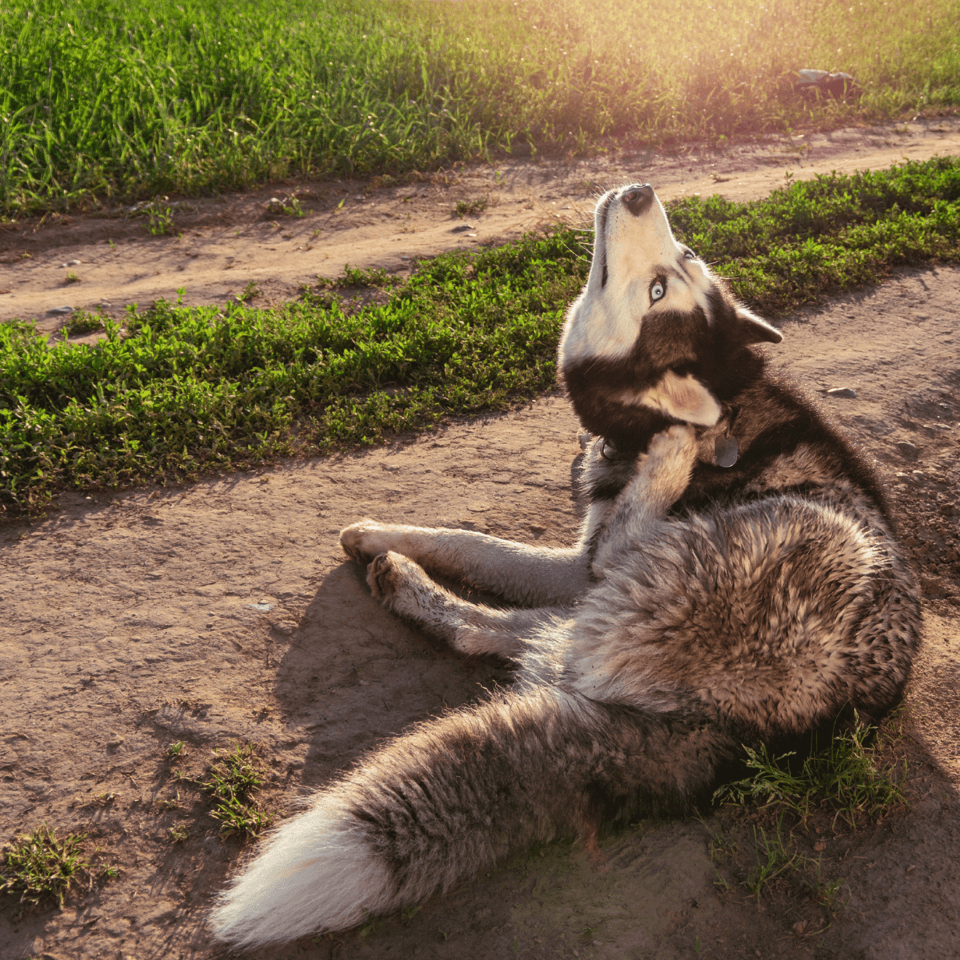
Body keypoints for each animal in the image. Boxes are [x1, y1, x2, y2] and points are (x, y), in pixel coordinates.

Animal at [212, 184, 924, 948]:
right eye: (683, 258)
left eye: (658, 288)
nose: (641, 192)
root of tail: (757, 738)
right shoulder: (574, 564)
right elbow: (474, 541)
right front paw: (378, 534)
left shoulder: (591, 565)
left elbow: (492, 547)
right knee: (520, 637)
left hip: (767, 558)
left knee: (530, 635)